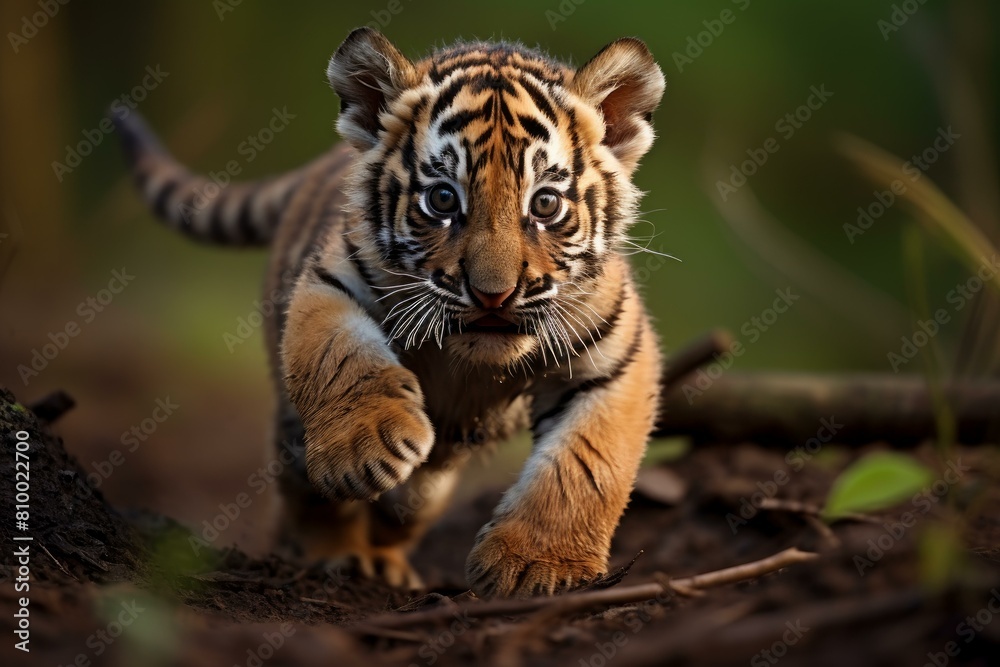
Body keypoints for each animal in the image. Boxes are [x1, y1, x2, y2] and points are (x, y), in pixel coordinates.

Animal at [114, 27, 666, 599]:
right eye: (443, 199)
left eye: (545, 204)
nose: (493, 295)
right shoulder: (334, 282)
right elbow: (341, 358)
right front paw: (364, 448)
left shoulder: (617, 359)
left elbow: (586, 464)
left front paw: (538, 567)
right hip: (295, 432)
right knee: (305, 492)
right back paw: (338, 553)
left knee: (409, 507)